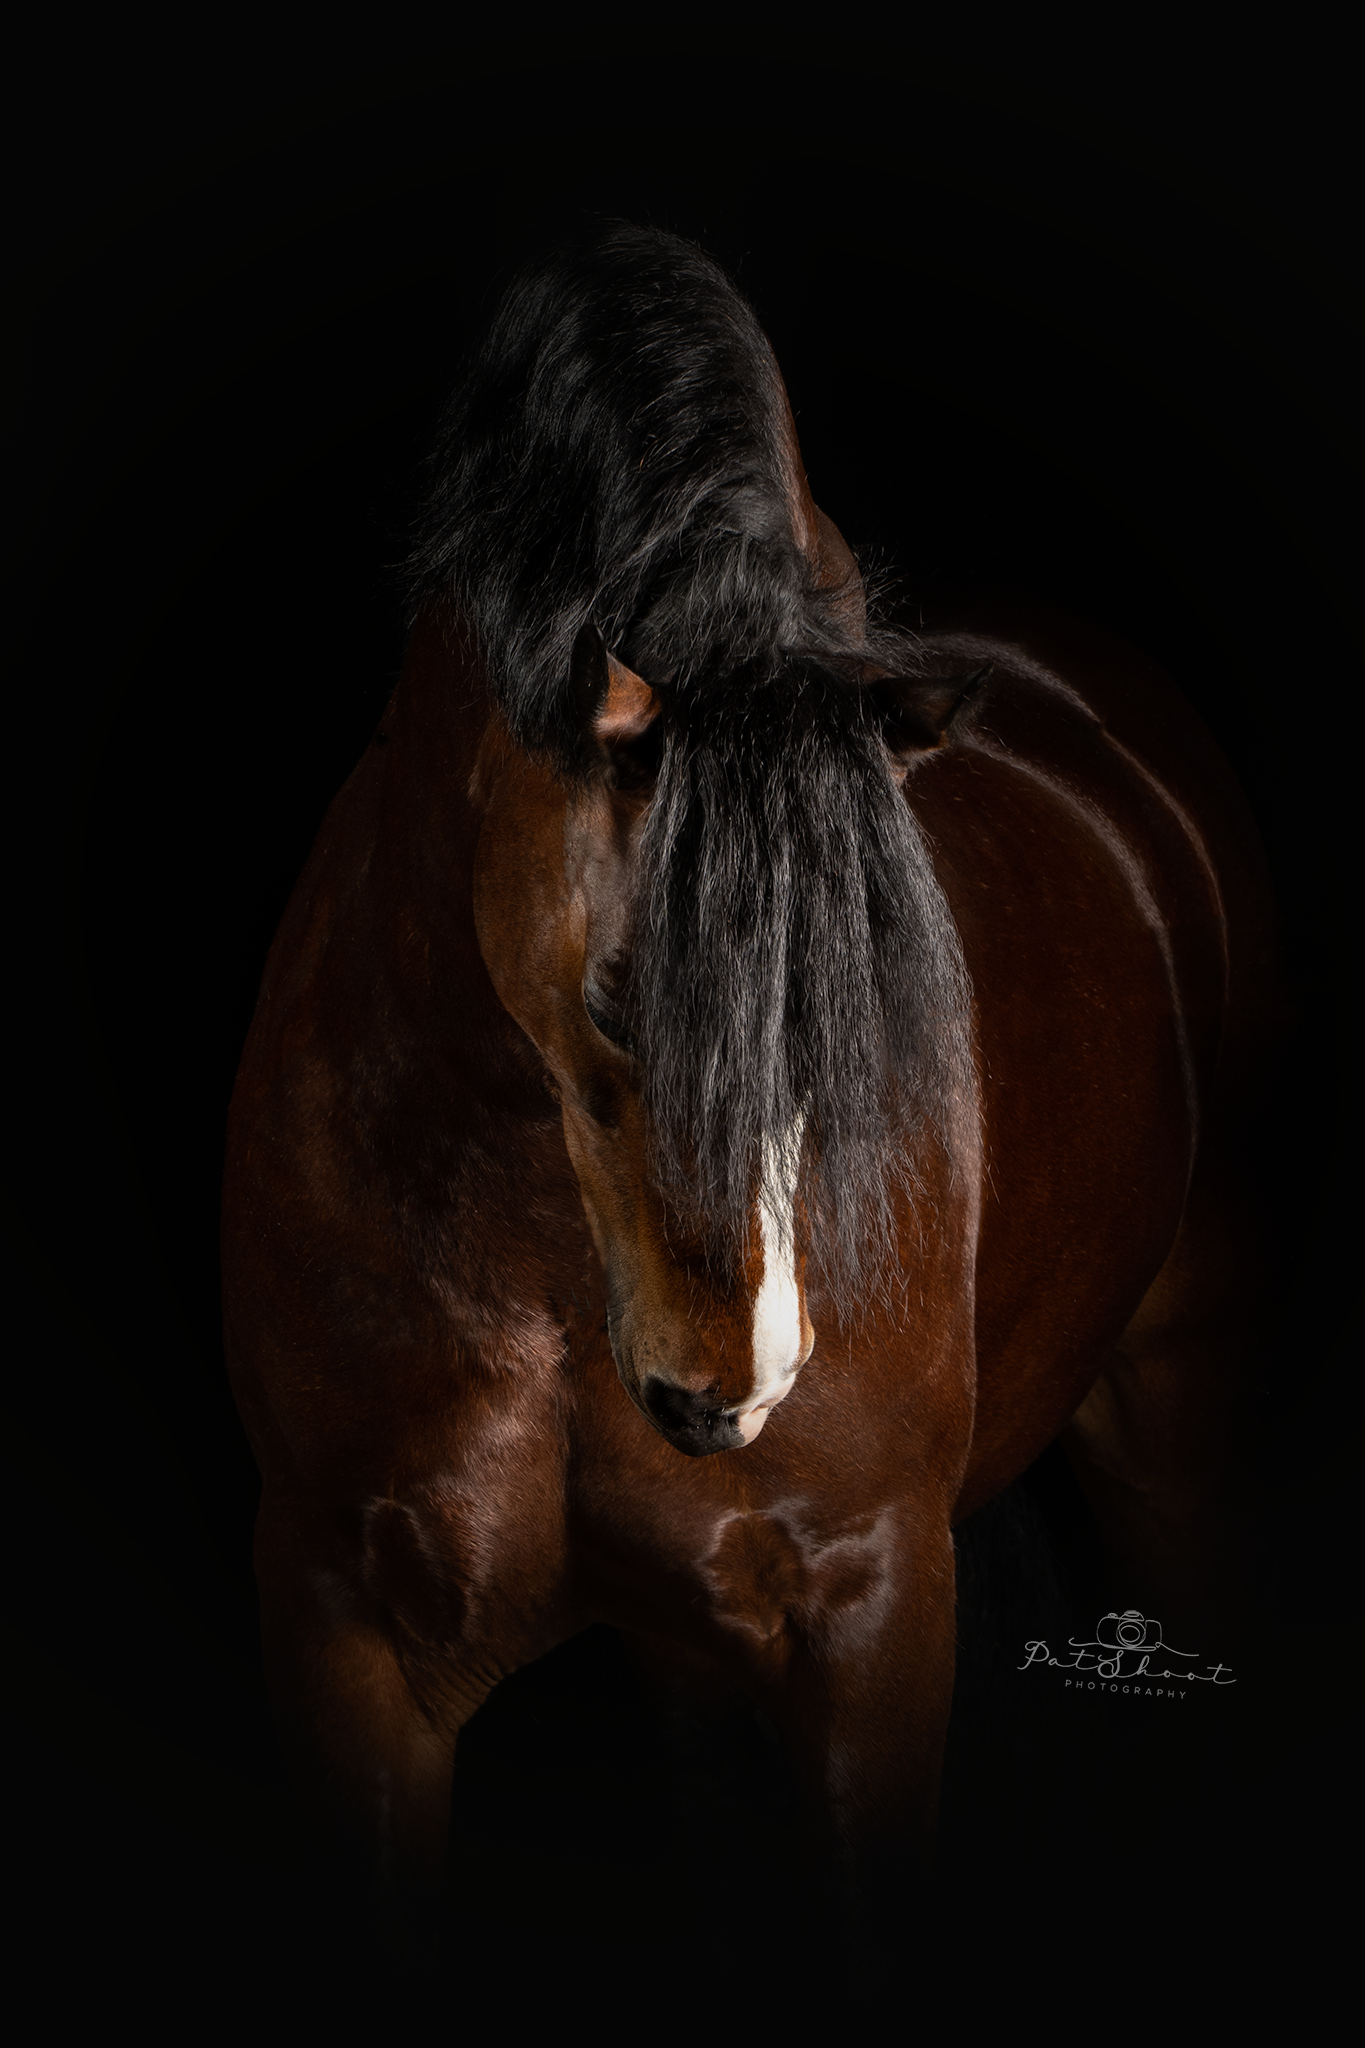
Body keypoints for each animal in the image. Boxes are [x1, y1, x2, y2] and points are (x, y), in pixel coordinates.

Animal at [221, 220, 1276, 1969]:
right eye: (615, 1002)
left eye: (865, 1011)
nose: (739, 1386)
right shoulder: (344, 1636)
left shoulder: (872, 1616)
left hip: (1176, 1421)